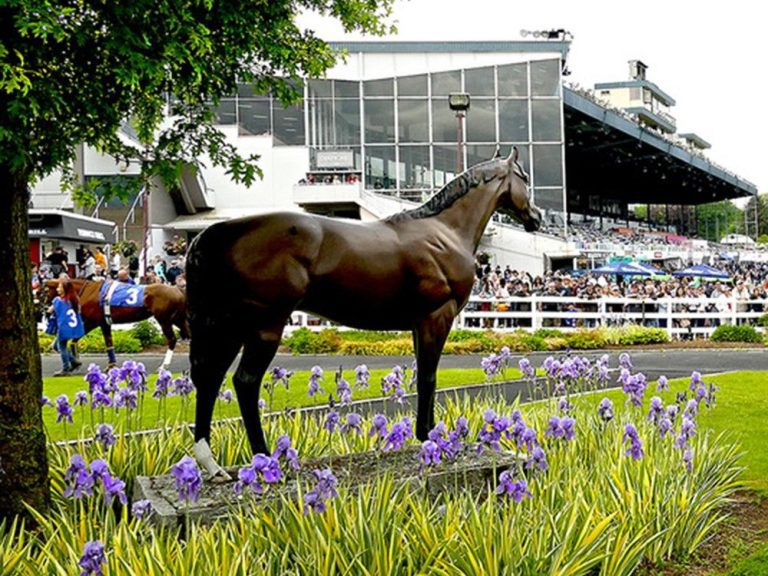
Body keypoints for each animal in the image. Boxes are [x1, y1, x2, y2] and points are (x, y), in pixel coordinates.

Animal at [41, 278, 189, 366]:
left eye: (44, 291)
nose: (44, 308)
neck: (88, 291)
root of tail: (178, 289)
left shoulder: (93, 321)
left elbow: (77, 338)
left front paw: (75, 360)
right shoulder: (104, 322)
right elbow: (108, 342)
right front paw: (111, 364)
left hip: (165, 320)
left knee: (172, 339)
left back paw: (164, 366)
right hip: (178, 319)